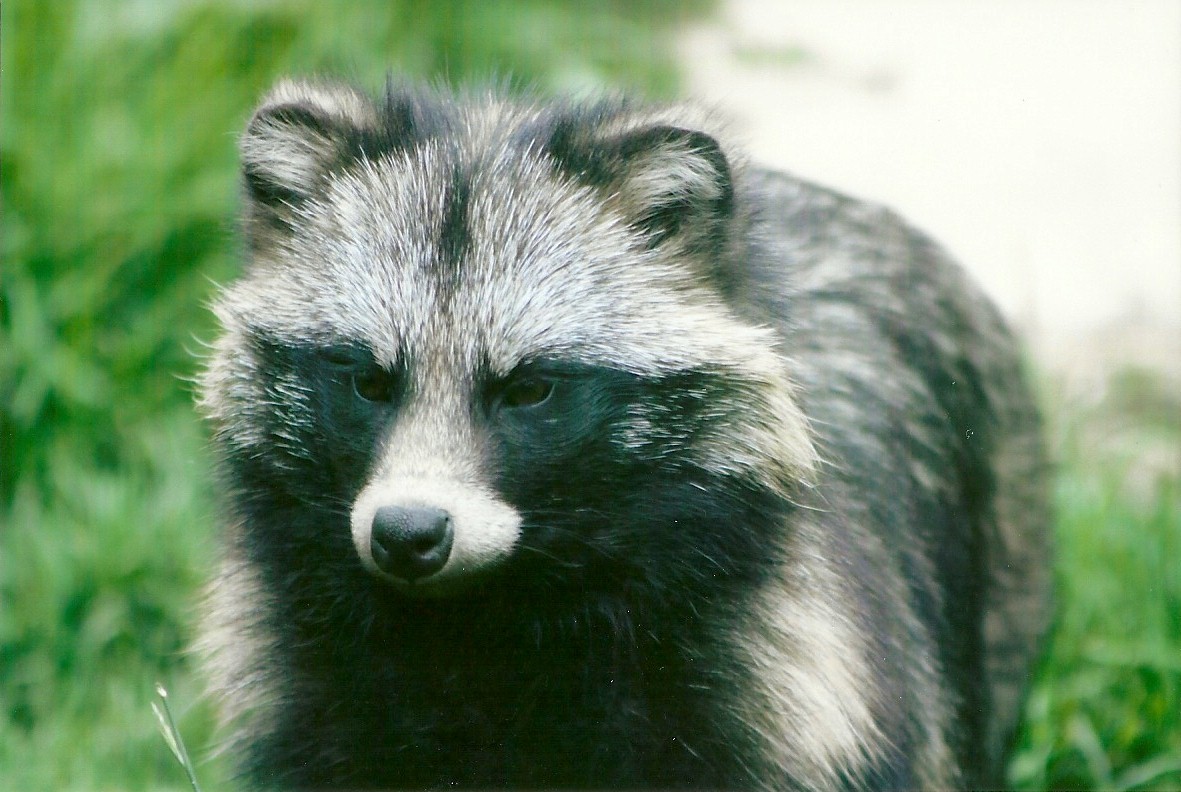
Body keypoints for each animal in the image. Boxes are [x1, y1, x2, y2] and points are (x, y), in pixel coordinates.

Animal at [197, 78, 1051, 791]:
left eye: (528, 388)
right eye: (367, 381)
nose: (408, 535)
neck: (486, 624)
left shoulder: (788, 697)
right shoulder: (321, 691)